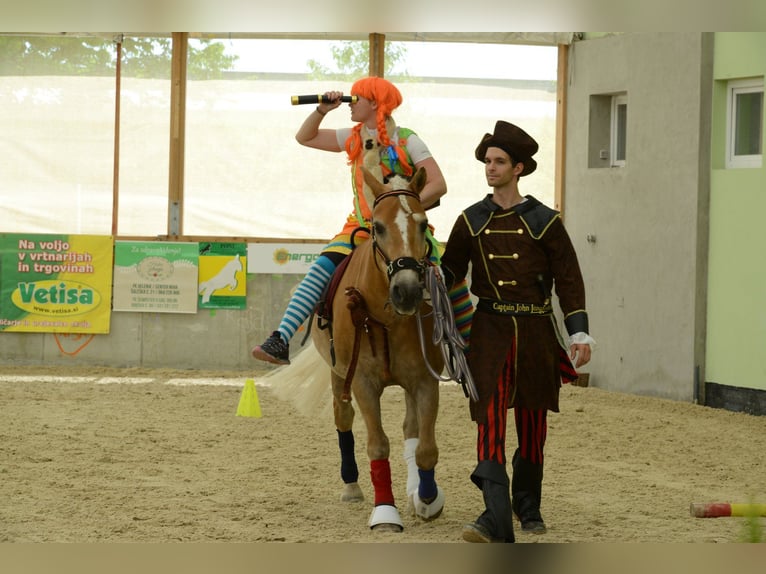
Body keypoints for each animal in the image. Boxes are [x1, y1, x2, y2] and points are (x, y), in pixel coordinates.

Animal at [310, 164, 448, 532]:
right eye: (379, 227)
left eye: (423, 224)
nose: (407, 290)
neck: (388, 317)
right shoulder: (362, 382)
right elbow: (378, 446)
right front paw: (385, 512)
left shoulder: (425, 380)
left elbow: (425, 448)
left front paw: (427, 498)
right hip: (338, 374)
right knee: (343, 418)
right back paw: (352, 486)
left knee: (411, 430)